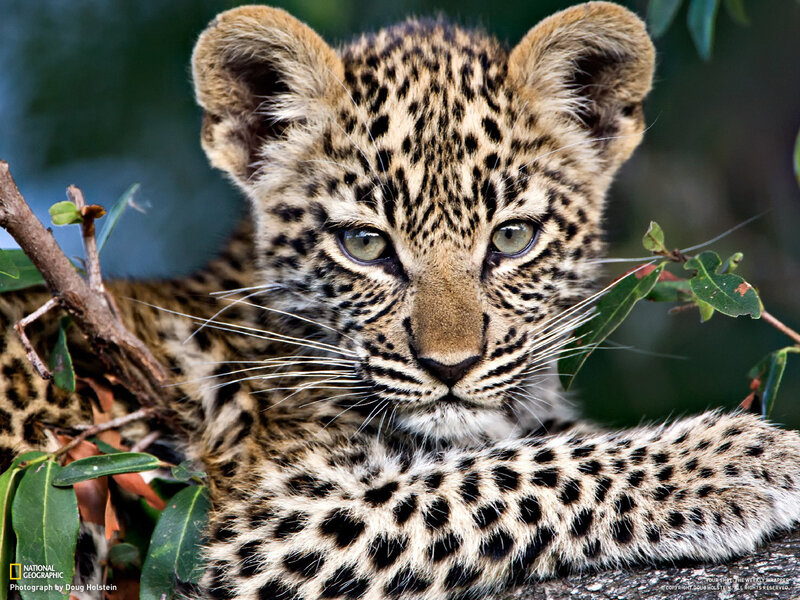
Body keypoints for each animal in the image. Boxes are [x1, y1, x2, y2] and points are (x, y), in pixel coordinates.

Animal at [1, 3, 799, 600]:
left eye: (511, 238)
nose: (449, 366)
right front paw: (736, 460)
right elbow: (510, 475)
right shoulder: (274, 518)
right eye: (364, 244)